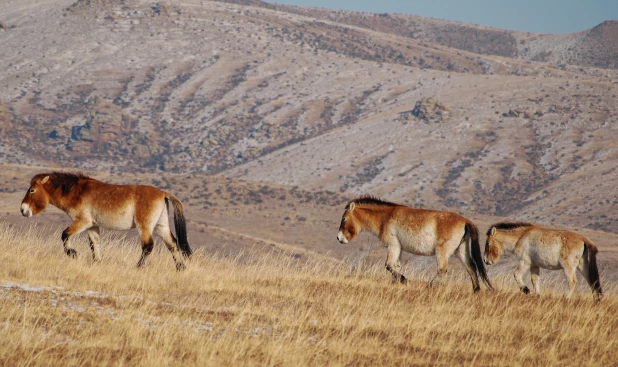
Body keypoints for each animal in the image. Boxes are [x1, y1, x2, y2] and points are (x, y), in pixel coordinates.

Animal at [20, 172, 191, 270]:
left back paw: (138, 266)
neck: (77, 191)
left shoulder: (82, 222)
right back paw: (180, 268)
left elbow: (65, 235)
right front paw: (97, 262)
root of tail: (163, 193)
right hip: (161, 226)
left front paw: (73, 253)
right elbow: (94, 244)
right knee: (172, 244)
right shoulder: (92, 226)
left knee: (148, 246)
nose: (23, 209)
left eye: (32, 190)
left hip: (145, 227)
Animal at [336, 197, 490, 294]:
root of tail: (465, 221)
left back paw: (430, 286)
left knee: (442, 270)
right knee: (471, 267)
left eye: (344, 218)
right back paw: (476, 290)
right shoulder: (398, 249)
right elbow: (395, 266)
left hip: (442, 252)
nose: (339, 238)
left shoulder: (393, 246)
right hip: (460, 250)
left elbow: (389, 265)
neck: (386, 217)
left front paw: (405, 280)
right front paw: (397, 283)